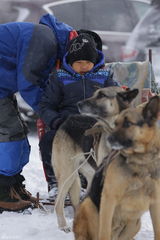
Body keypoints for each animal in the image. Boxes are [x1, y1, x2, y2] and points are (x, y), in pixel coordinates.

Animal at [52, 86, 138, 231]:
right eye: (95, 94)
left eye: (102, 95)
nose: (78, 104)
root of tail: (68, 120)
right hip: (68, 175)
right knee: (58, 203)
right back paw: (63, 226)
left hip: (89, 175)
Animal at [73, 95, 160, 240]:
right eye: (115, 124)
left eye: (128, 124)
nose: (109, 139)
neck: (140, 162)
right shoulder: (109, 199)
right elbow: (104, 233)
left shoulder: (155, 204)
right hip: (88, 206)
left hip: (135, 224)